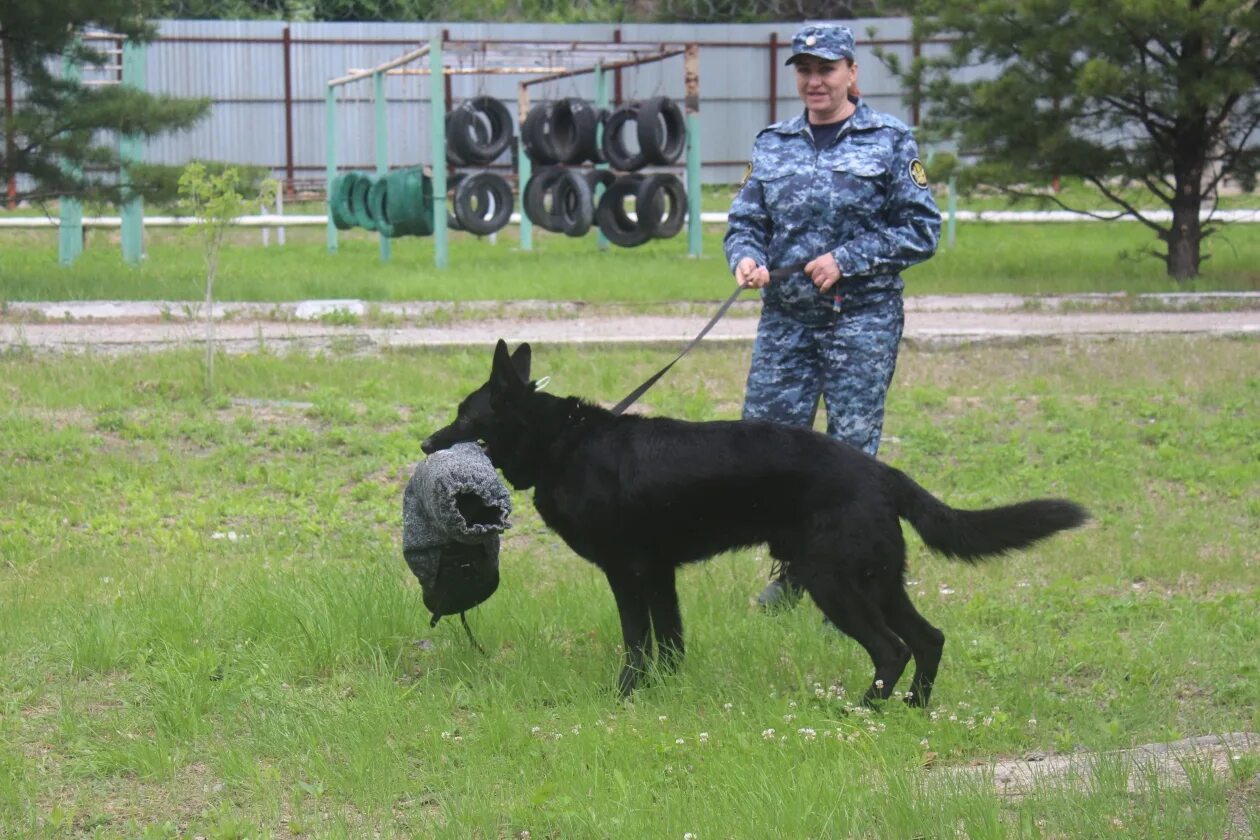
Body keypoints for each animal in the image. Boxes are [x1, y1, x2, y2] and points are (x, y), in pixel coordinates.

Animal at [420, 337, 1083, 705]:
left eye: (465, 416)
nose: (426, 444)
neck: (566, 443)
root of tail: (883, 472)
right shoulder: (660, 574)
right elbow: (670, 641)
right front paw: (666, 691)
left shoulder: (628, 573)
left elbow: (637, 642)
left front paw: (627, 695)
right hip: (877, 581)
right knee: (929, 639)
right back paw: (913, 711)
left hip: (832, 581)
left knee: (892, 650)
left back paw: (862, 711)